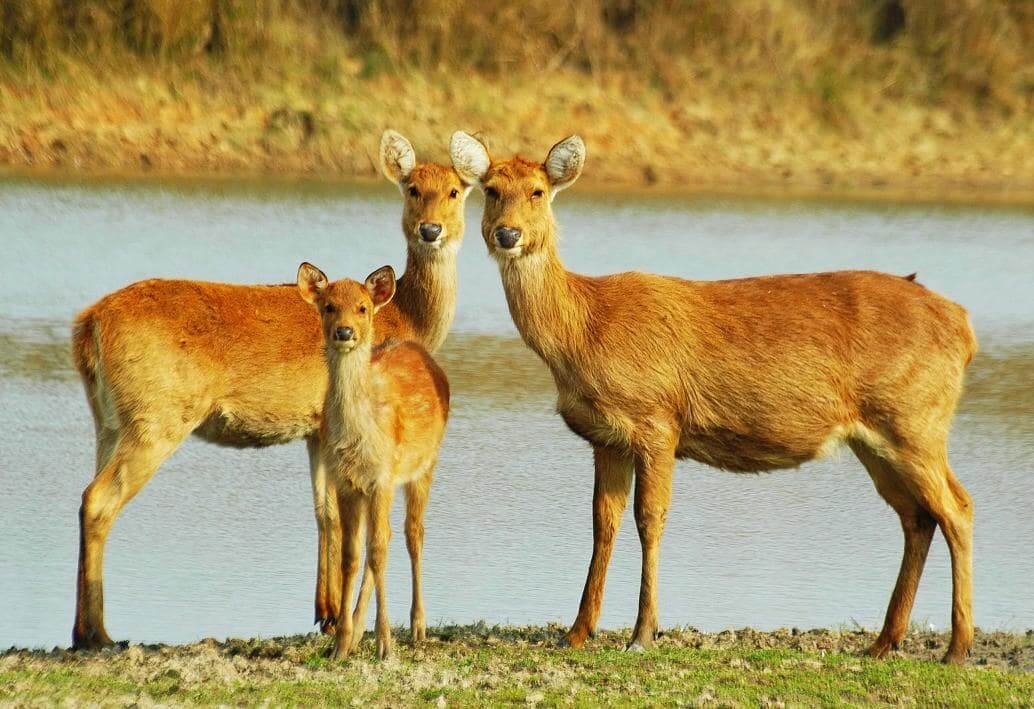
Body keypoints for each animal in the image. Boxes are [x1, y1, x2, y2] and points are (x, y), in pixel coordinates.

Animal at [296, 262, 449, 660]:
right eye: (329, 306)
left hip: (425, 464)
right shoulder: (347, 481)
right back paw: (356, 631)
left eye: (362, 307)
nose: (344, 331)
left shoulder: (382, 475)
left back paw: (418, 628)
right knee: (383, 537)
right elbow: (352, 554)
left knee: (412, 533)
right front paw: (340, 644)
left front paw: (385, 644)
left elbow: (378, 551)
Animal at [450, 131, 979, 665]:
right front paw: (577, 631)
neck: (583, 331)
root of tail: (963, 327)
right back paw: (884, 641)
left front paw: (642, 633)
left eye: (538, 191)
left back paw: (957, 648)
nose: (508, 234)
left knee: (958, 508)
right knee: (918, 516)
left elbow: (650, 519)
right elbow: (603, 523)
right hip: (875, 437)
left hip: (915, 419)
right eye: (491, 190)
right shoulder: (606, 437)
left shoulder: (658, 419)